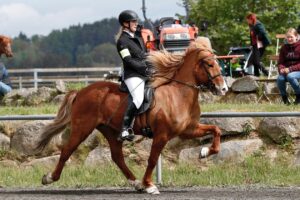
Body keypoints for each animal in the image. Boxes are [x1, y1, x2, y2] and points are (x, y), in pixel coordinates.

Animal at [34, 37, 227, 194]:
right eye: (210, 64)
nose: (223, 89)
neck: (179, 93)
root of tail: (81, 92)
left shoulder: (188, 129)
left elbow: (216, 129)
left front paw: (204, 152)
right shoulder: (162, 135)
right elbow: (152, 159)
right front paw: (149, 185)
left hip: (110, 130)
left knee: (117, 157)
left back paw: (135, 183)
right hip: (82, 127)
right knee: (67, 150)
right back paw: (49, 178)